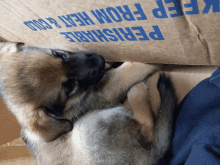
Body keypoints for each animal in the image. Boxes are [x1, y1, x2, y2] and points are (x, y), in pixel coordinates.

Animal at [0, 42, 175, 164]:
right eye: (70, 87)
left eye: (59, 53)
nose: (101, 59)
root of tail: (149, 161)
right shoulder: (103, 92)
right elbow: (129, 71)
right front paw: (151, 60)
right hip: (89, 127)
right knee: (147, 129)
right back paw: (137, 91)